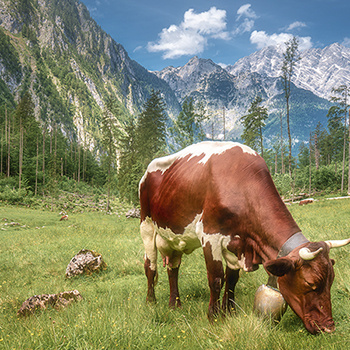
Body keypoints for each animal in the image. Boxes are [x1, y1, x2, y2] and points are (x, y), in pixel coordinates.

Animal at [139, 142, 350, 334]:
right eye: (310, 284)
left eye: (331, 281)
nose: (328, 328)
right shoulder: (209, 236)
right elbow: (216, 278)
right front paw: (214, 317)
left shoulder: (237, 244)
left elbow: (232, 279)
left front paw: (230, 312)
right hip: (146, 227)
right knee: (150, 266)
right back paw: (151, 301)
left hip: (174, 237)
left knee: (173, 268)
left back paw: (175, 304)